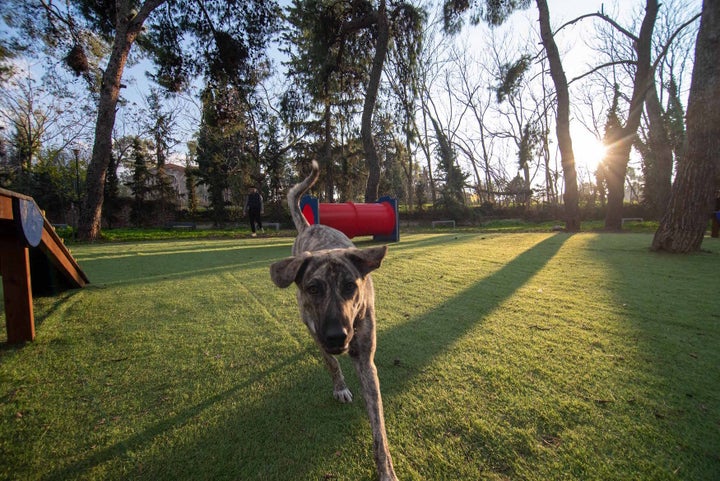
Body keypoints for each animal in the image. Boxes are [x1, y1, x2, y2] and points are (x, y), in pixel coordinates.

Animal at [268, 161, 396, 480]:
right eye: (313, 288)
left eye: (350, 286)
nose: (337, 336)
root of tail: (311, 225)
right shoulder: (317, 331)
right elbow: (330, 362)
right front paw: (339, 386)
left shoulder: (366, 360)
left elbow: (379, 429)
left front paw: (386, 470)